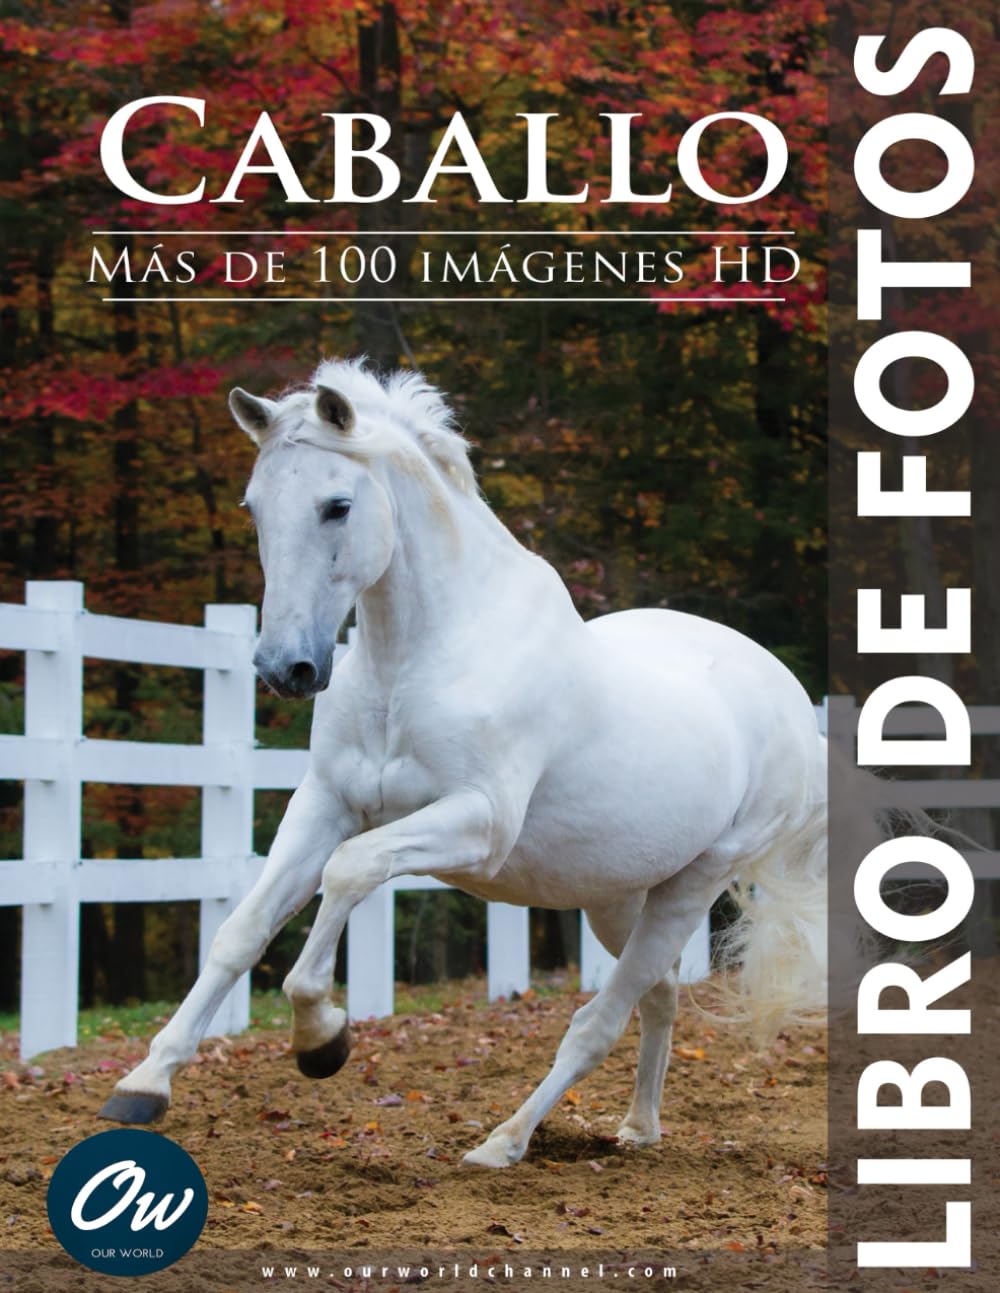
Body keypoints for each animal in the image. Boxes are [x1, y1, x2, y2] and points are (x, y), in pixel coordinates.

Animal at [99, 358, 830, 1168]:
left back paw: (503, 1141)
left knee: (599, 1021)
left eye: (336, 505)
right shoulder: (325, 803)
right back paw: (637, 1128)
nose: (284, 668)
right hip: (617, 894)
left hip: (692, 884)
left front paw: (322, 1038)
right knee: (660, 994)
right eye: (254, 507)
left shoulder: (478, 825)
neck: (418, 659)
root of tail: (793, 704)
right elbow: (242, 930)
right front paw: (143, 1084)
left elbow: (348, 872)